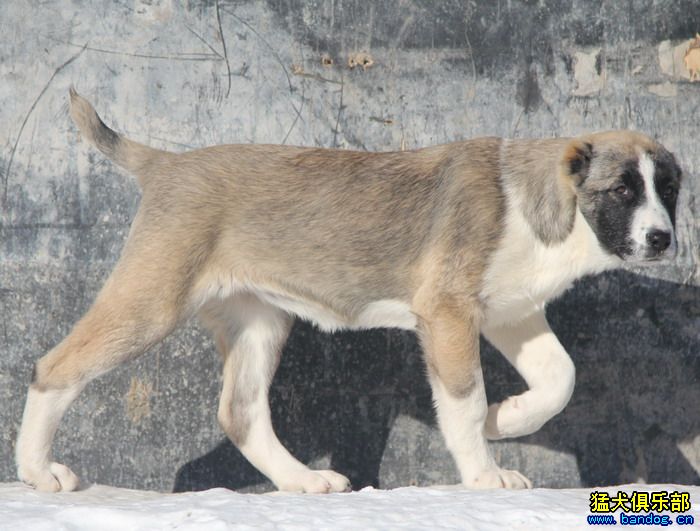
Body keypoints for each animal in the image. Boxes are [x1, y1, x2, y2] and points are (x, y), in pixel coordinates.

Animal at [15, 90, 684, 494]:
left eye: (670, 189)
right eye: (623, 190)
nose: (662, 239)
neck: (543, 206)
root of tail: (164, 163)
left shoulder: (510, 315)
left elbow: (560, 377)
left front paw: (506, 418)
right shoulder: (447, 314)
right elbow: (464, 400)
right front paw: (484, 471)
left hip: (259, 321)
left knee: (241, 411)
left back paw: (301, 481)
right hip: (152, 300)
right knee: (55, 367)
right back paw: (36, 471)